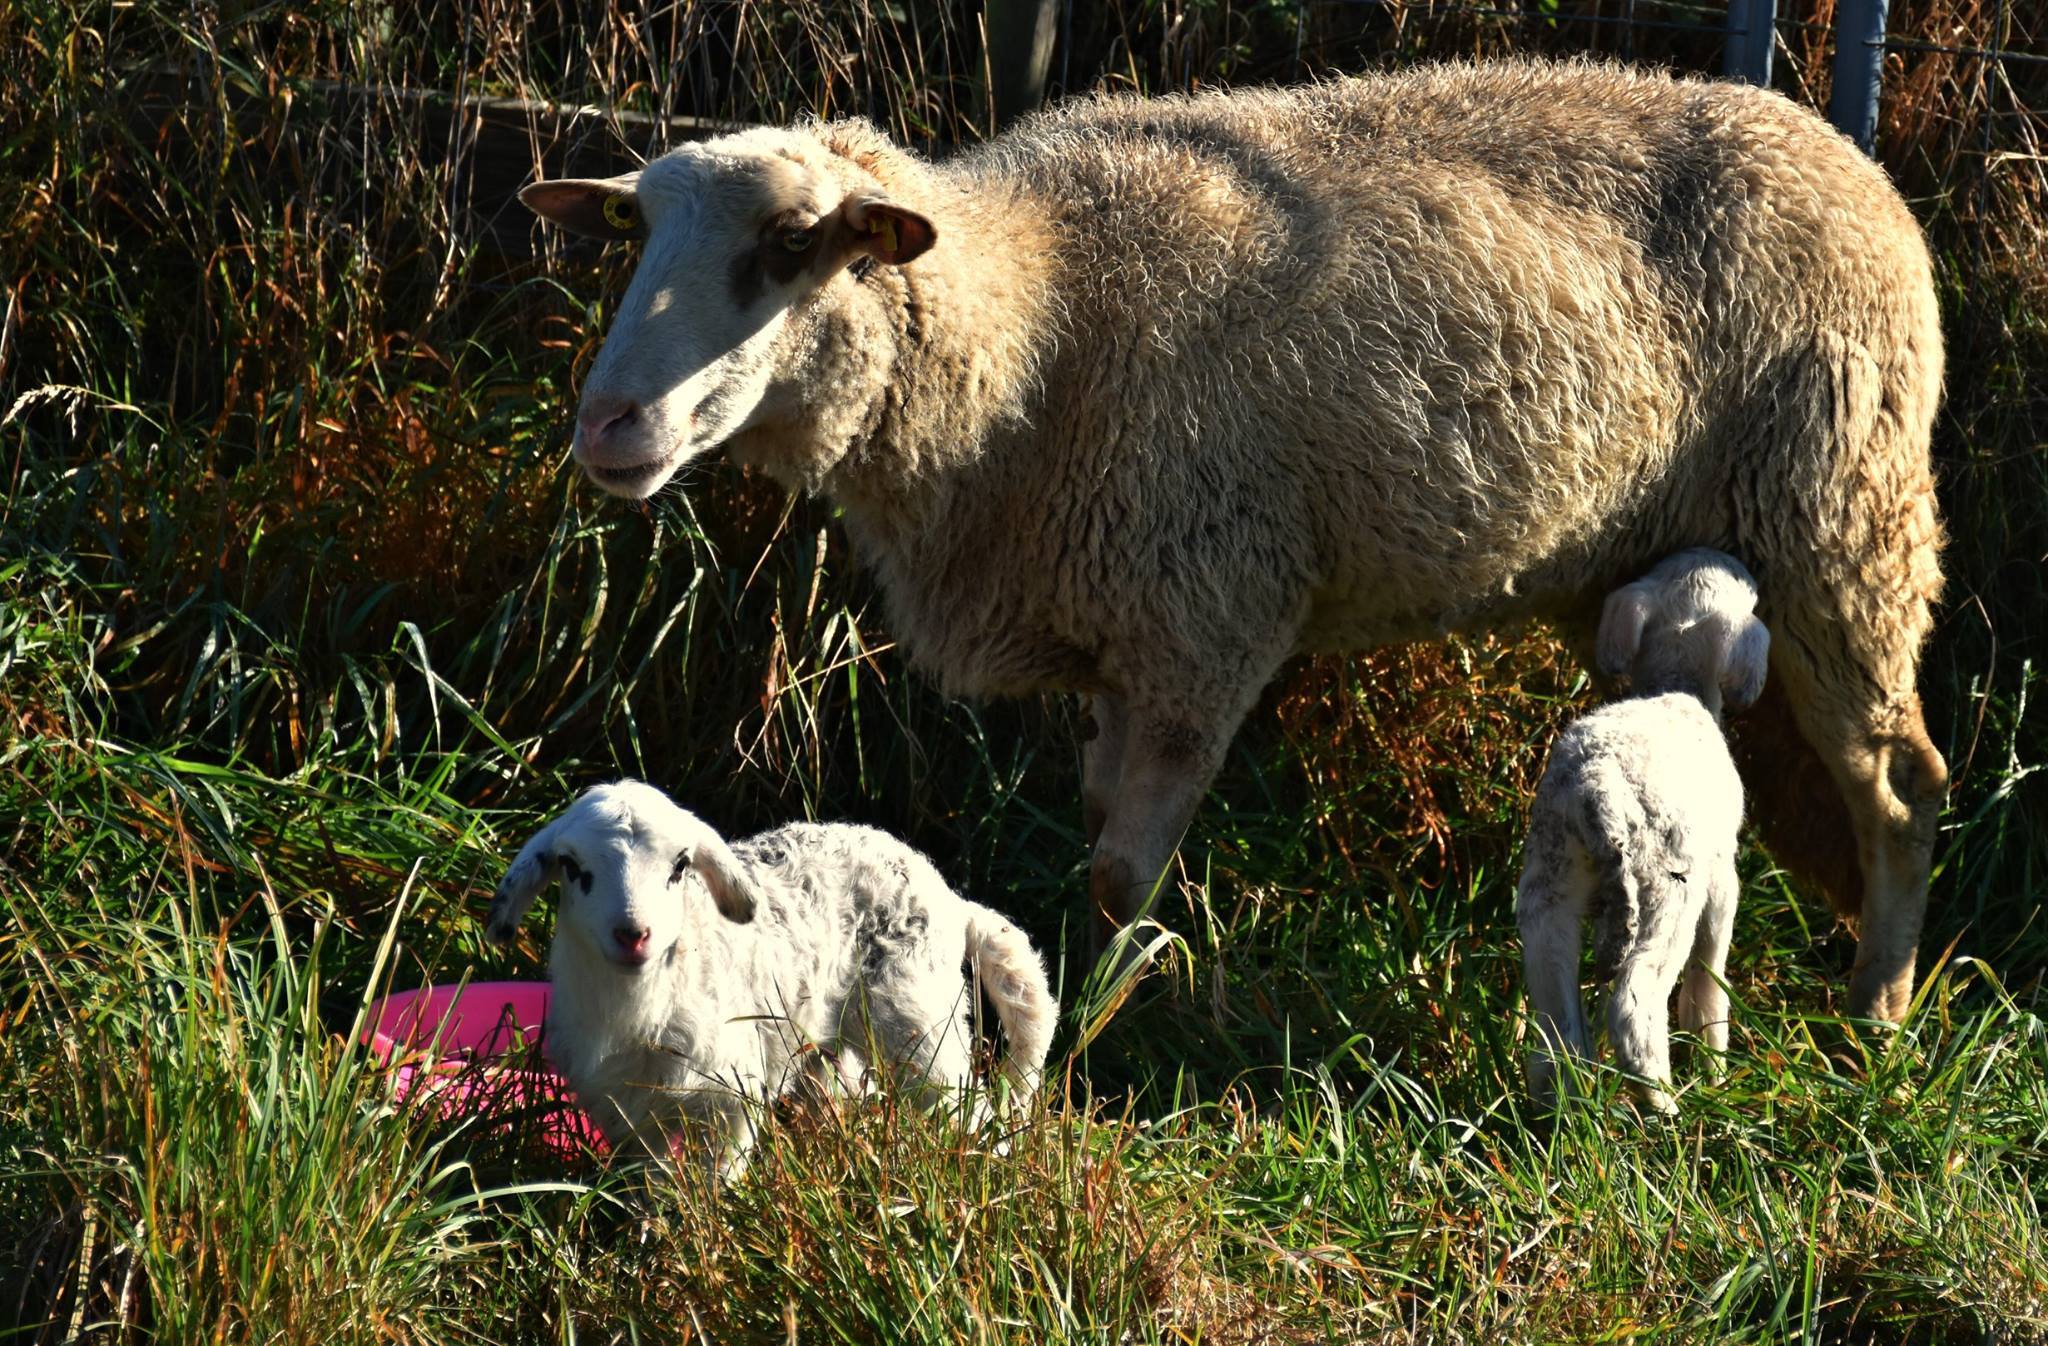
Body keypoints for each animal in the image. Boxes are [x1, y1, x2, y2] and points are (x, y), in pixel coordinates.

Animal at [483, 780, 1057, 1180]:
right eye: (571, 866)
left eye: (680, 866)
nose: (633, 934)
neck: (639, 1013)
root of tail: (951, 900)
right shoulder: (620, 1111)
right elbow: (647, 1180)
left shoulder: (733, 1096)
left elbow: (716, 1178)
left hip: (920, 1020)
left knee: (964, 1105)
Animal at [518, 56, 1948, 1021]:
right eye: (635, 230)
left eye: (789, 243)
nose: (609, 426)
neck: (1034, 320)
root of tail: (1845, 156)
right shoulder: (1118, 628)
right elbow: (1103, 823)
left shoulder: (1202, 621)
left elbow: (1115, 867)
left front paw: (1105, 1012)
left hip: (1842, 519)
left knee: (1901, 781)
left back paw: (1874, 1010)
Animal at [1517, 549, 1768, 1112]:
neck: (1675, 684)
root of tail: (1598, 786)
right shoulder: (1721, 874)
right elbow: (1710, 976)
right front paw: (1717, 1072)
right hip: (1667, 889)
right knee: (1633, 1008)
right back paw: (1667, 1109)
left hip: (1550, 876)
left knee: (1555, 1020)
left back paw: (1556, 1109)